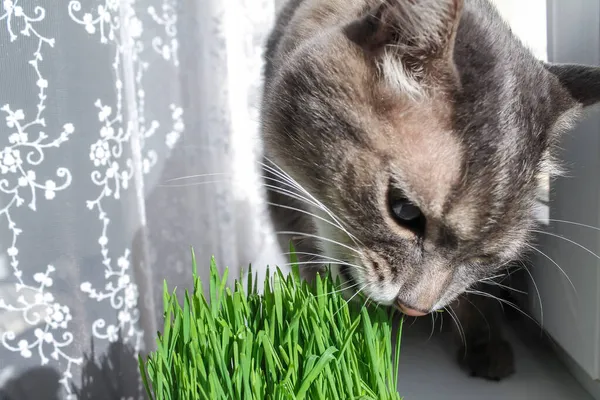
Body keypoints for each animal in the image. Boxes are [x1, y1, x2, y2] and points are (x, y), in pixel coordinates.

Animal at [260, 0, 600, 382]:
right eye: (404, 211)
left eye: (485, 257)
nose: (413, 309)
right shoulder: (278, 188)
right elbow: (312, 270)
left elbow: (476, 293)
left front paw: (484, 342)